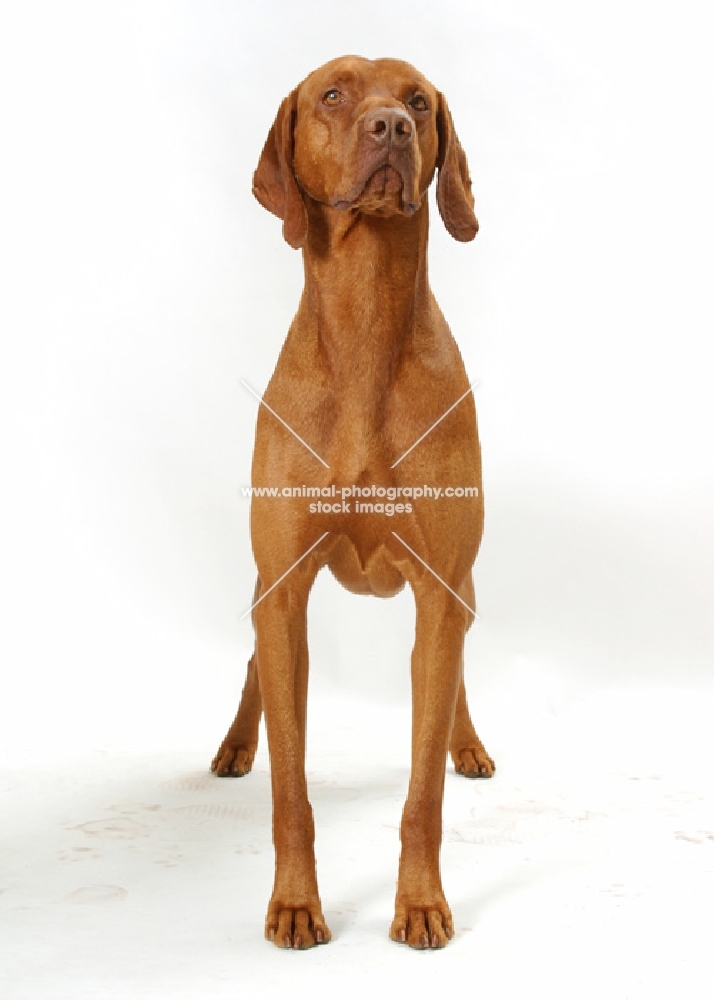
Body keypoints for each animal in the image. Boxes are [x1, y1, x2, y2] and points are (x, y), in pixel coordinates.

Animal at [209, 56, 492, 952]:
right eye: (333, 94)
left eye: (418, 102)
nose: (391, 128)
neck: (367, 322)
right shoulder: (284, 588)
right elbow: (290, 789)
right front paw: (296, 905)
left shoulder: (439, 590)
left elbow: (424, 790)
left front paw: (422, 904)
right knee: (257, 666)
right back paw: (235, 746)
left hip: (461, 590)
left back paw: (470, 746)